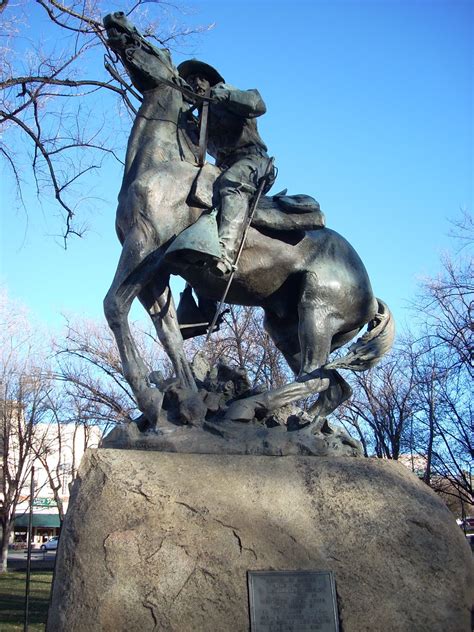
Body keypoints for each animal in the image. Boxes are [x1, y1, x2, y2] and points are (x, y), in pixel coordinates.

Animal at [102, 13, 394, 430]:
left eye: (161, 49)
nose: (118, 18)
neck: (160, 163)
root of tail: (370, 294)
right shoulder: (155, 271)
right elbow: (170, 334)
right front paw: (188, 405)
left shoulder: (145, 247)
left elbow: (114, 306)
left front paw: (149, 397)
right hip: (285, 327)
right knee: (334, 384)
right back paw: (302, 425)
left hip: (317, 313)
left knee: (316, 376)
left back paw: (249, 407)